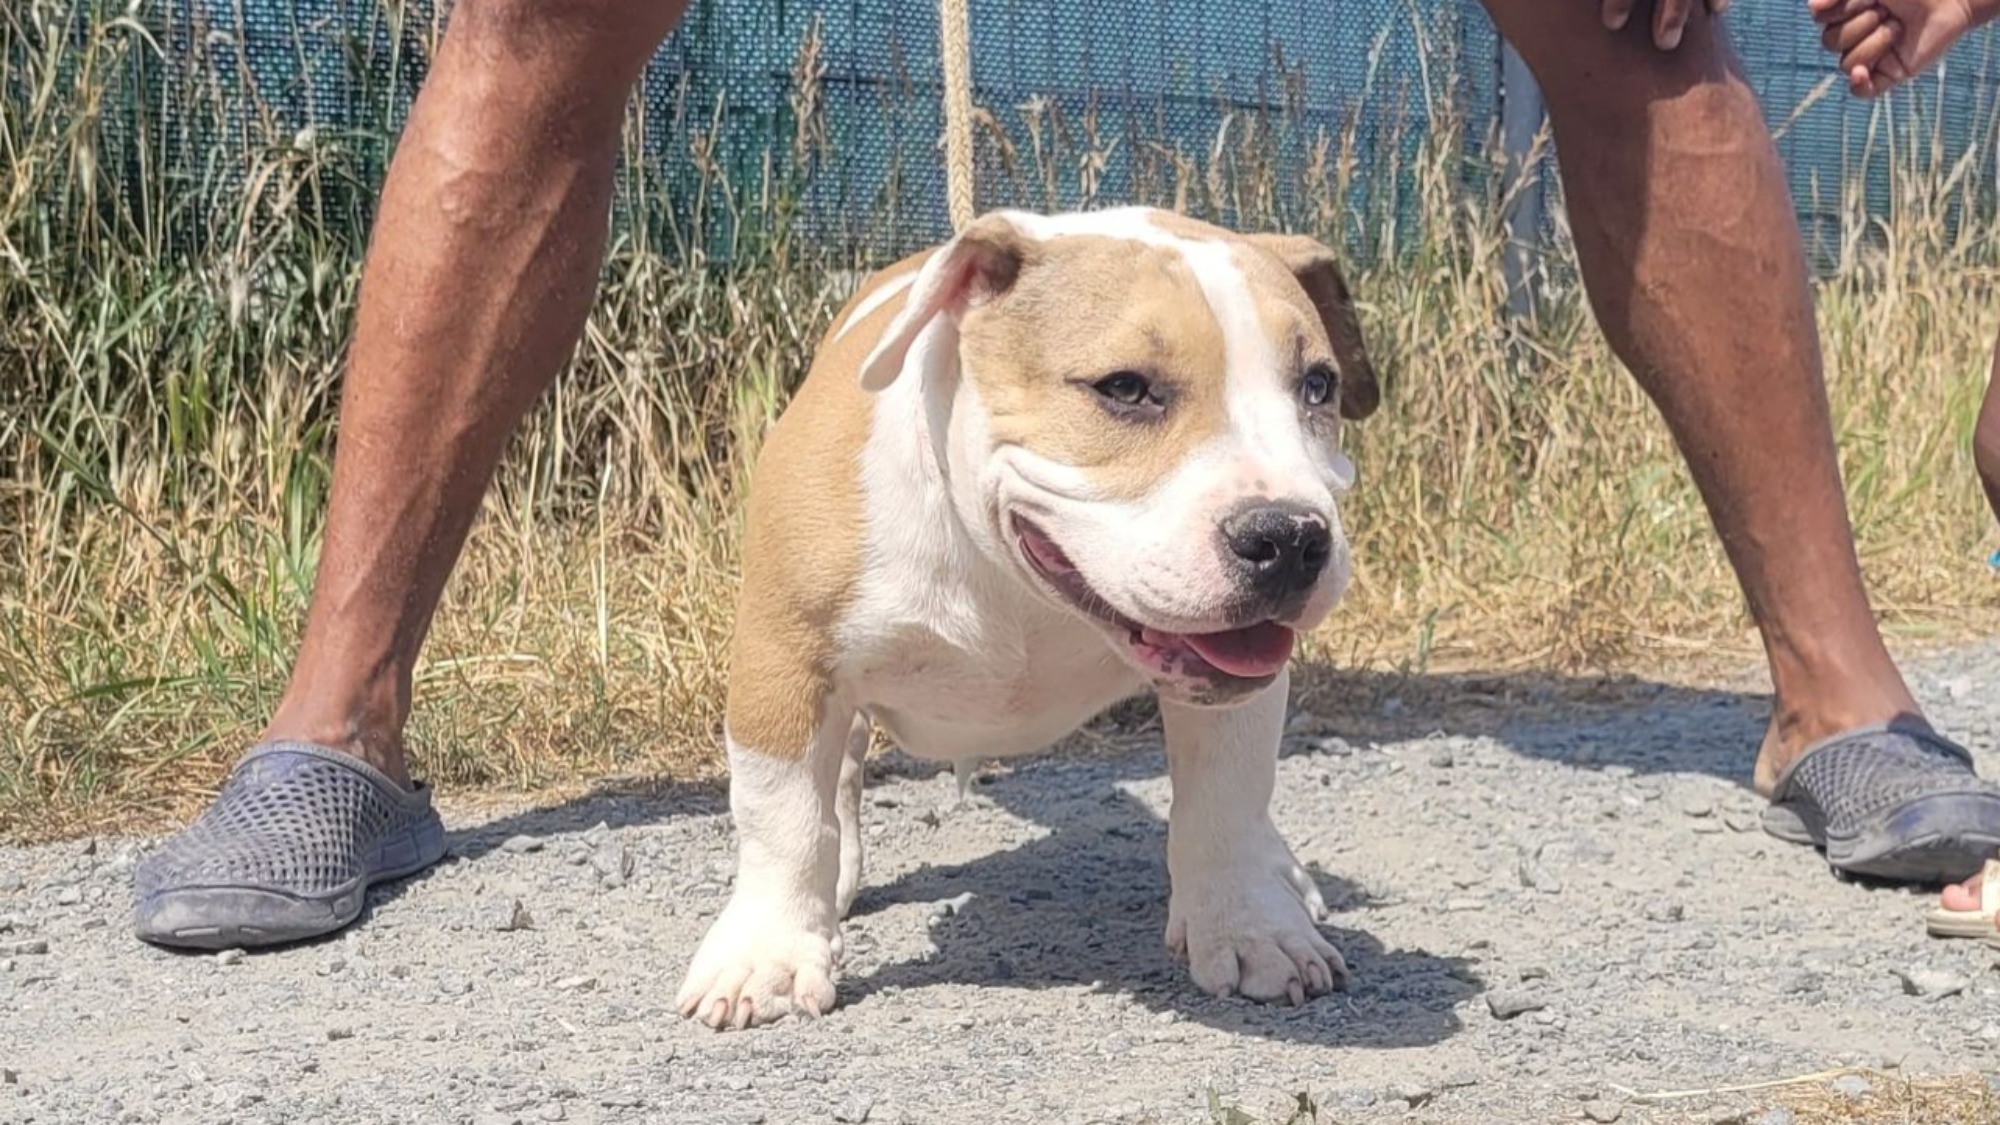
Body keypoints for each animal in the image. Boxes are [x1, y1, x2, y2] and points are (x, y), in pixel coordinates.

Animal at [680, 206, 1384, 1032]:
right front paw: (769, 954)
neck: (1012, 575)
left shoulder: (1230, 695)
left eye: (1319, 385)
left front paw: (1251, 929)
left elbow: (1227, 800)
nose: (1290, 536)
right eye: (1125, 388)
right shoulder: (784, 657)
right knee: (841, 771)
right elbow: (781, 811)